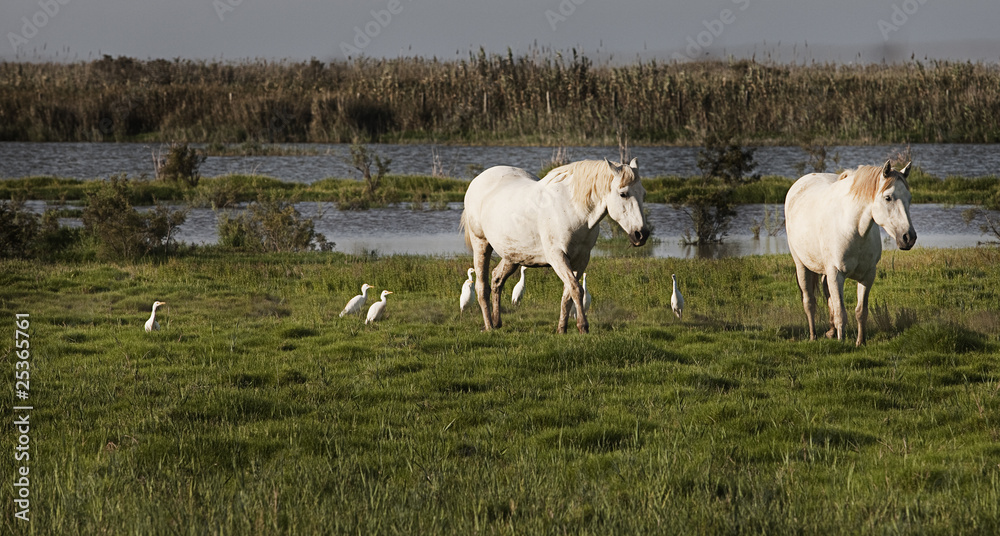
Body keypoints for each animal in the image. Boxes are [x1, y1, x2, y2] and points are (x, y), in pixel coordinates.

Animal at [460, 158, 650, 333]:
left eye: (643, 194)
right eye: (623, 194)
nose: (642, 234)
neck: (572, 209)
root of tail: (478, 180)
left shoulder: (581, 259)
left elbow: (568, 293)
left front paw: (562, 329)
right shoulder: (557, 256)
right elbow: (576, 289)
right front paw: (583, 327)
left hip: (512, 255)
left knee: (497, 279)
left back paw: (497, 322)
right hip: (481, 245)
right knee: (482, 288)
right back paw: (489, 326)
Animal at [784, 160, 916, 346]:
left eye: (909, 198)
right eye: (888, 197)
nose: (909, 237)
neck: (853, 229)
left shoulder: (867, 276)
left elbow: (861, 311)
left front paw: (860, 342)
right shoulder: (836, 274)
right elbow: (841, 312)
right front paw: (842, 342)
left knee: (827, 296)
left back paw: (831, 331)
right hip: (801, 266)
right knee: (809, 302)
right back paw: (813, 336)